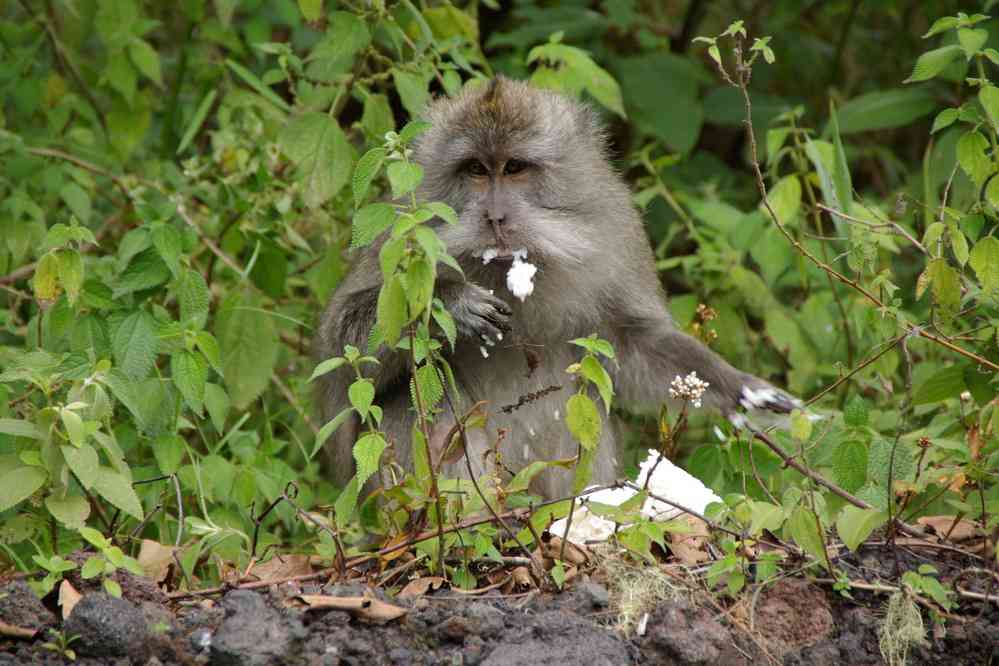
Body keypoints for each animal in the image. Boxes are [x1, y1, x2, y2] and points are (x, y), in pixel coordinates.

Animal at [315, 77, 798, 500]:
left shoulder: (616, 229)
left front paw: (741, 390)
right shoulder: (398, 232)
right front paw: (449, 303)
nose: (495, 217)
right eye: (475, 170)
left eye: (514, 168)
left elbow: (633, 345)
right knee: (416, 399)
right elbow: (344, 359)